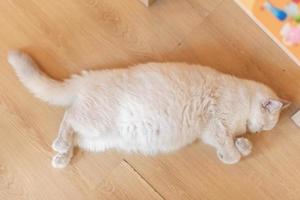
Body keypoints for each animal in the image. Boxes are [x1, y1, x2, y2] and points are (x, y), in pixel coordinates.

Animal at [7, 50, 288, 169]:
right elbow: (232, 152)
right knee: (69, 118)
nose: (258, 131)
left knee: (74, 134)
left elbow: (237, 146)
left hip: (97, 139)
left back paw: (62, 158)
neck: (243, 96)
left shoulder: (214, 133)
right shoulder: (216, 124)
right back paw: (60, 146)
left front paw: (243, 145)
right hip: (94, 120)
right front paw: (232, 153)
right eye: (266, 124)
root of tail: (89, 78)